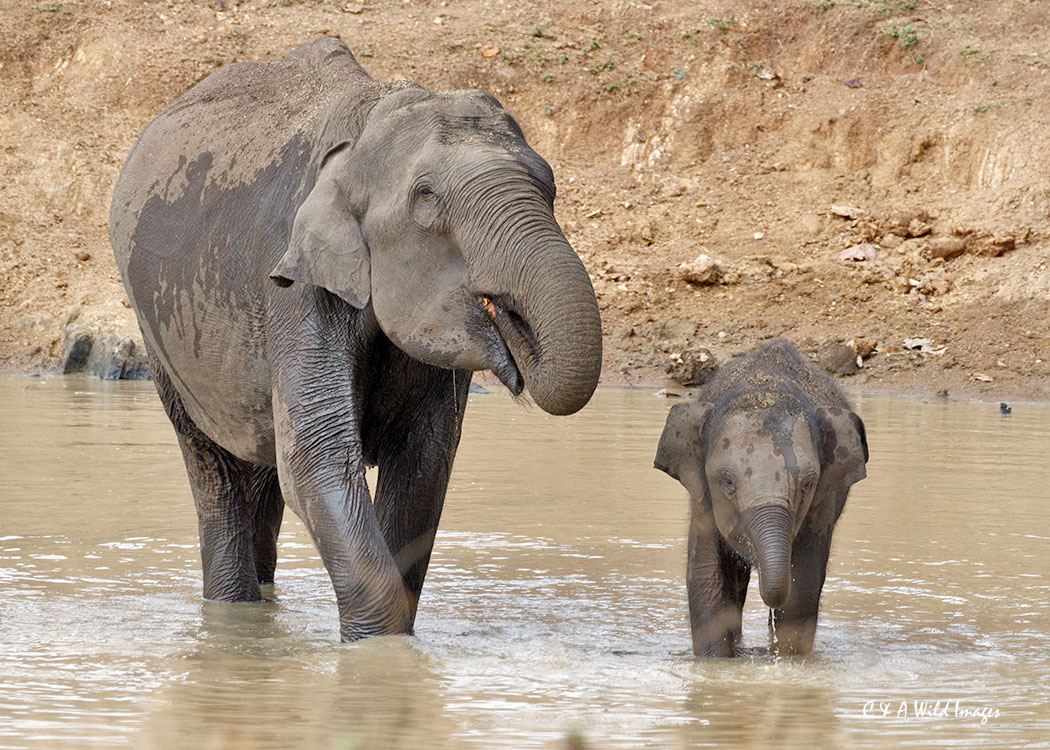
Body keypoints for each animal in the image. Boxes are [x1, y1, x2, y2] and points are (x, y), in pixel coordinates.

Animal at [109, 37, 602, 641]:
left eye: (550, 187)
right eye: (426, 197)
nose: (508, 324)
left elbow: (423, 463)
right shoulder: (295, 282)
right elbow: (315, 457)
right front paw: (378, 649)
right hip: (160, 344)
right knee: (214, 469)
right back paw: (233, 609)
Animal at [654, 339, 867, 657]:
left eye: (808, 483)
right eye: (727, 481)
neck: (767, 389)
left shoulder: (820, 509)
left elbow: (802, 585)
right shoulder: (703, 499)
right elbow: (706, 578)